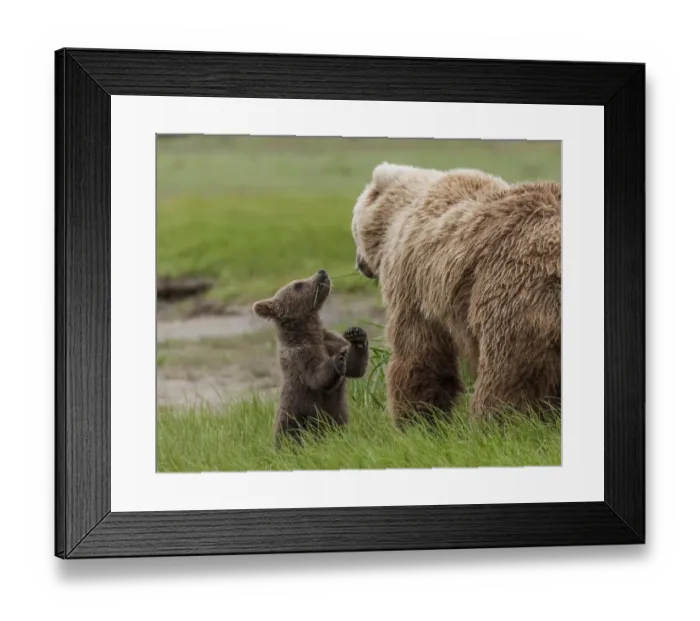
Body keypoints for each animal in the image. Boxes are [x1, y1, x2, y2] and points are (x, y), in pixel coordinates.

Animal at [252, 269, 369, 443]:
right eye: (298, 284)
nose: (322, 271)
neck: (310, 333)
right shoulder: (300, 356)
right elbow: (317, 376)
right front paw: (338, 359)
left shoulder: (330, 340)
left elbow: (355, 368)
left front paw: (357, 335)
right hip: (294, 417)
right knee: (291, 435)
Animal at [351, 162, 561, 425]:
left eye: (352, 229)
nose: (359, 263)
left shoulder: (412, 280)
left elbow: (418, 351)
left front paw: (416, 419)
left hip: (513, 288)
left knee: (508, 370)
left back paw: (494, 420)